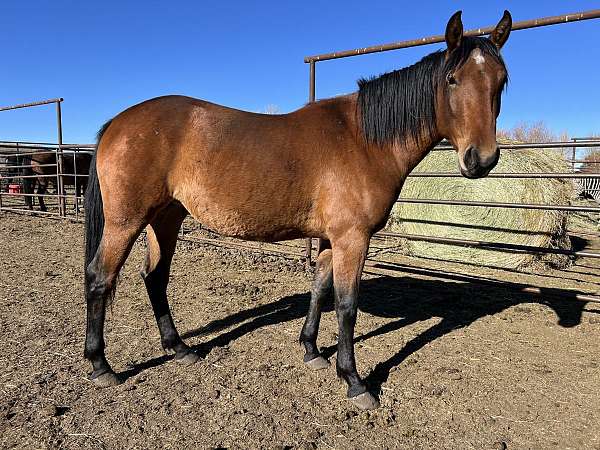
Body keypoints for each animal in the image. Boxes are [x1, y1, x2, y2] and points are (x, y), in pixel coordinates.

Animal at [84, 10, 512, 412]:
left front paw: (311, 350)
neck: (364, 139)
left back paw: (179, 348)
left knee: (155, 277)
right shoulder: (353, 239)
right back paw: (101, 366)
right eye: (452, 79)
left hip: (166, 218)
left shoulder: (329, 238)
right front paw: (354, 381)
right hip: (126, 222)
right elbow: (346, 305)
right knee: (100, 278)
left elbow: (320, 290)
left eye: (501, 80)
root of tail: (119, 122)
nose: (481, 159)